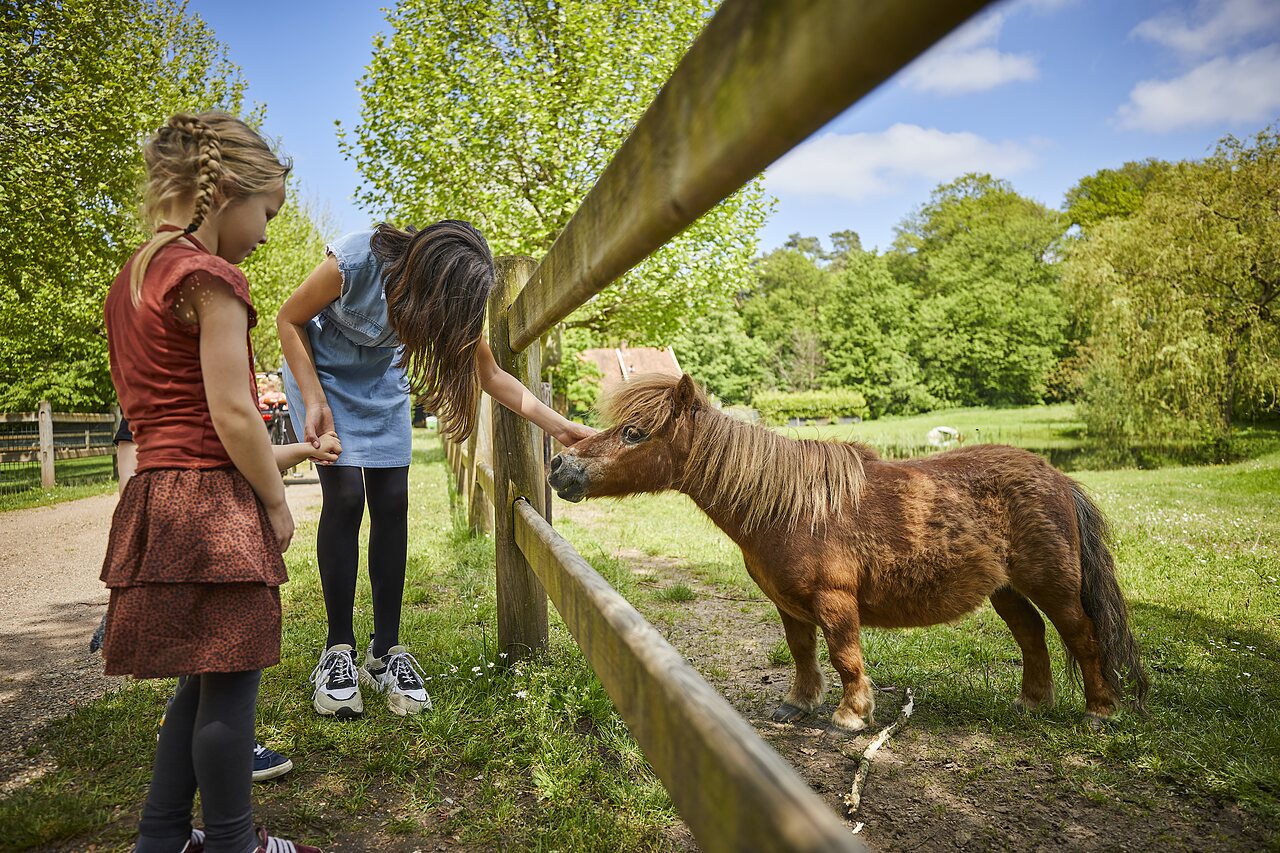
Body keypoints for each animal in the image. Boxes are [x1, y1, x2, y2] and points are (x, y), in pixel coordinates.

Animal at [548, 373, 1148, 731]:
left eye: (634, 432)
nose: (560, 466)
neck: (789, 506)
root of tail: (1057, 476)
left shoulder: (835, 602)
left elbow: (845, 657)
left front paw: (850, 715)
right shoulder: (790, 605)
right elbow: (802, 653)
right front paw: (799, 703)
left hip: (1055, 585)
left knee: (1082, 636)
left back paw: (1100, 711)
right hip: (1006, 590)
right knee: (1032, 635)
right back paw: (1031, 703)